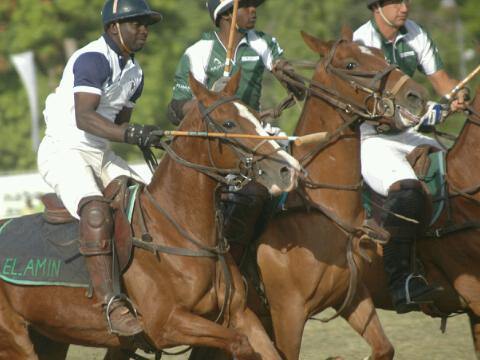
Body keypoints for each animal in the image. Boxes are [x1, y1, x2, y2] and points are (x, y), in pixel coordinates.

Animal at [0, 73, 300, 360]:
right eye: (228, 124)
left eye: (257, 116)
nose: (287, 169)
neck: (179, 231)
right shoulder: (166, 325)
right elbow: (240, 344)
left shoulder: (240, 314)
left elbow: (267, 350)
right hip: (16, 341)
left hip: (51, 336)